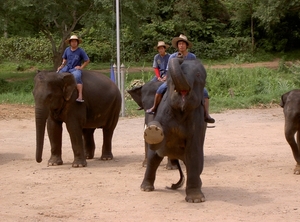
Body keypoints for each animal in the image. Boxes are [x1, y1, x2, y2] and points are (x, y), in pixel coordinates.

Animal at [140, 57, 207, 203]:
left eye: (198, 75)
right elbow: (157, 141)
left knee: (198, 163)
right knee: (153, 159)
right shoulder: (164, 108)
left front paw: (196, 200)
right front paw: (153, 131)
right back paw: (146, 188)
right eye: (169, 78)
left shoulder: (197, 119)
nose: (180, 56)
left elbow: (194, 151)